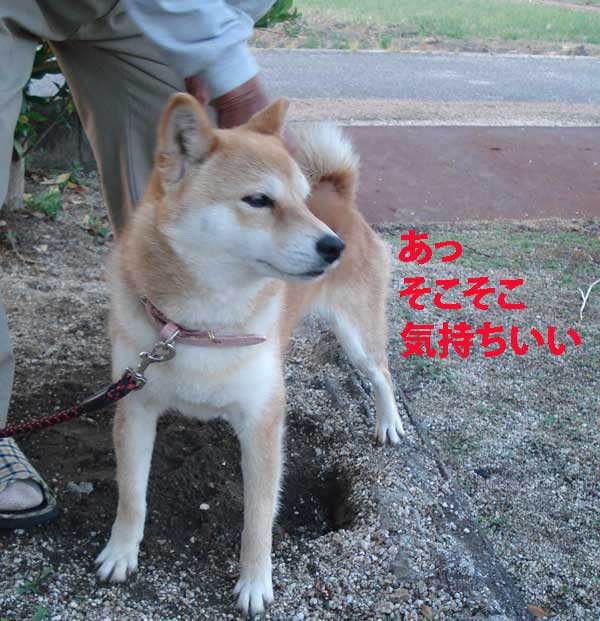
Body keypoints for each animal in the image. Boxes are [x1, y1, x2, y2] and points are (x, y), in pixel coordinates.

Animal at [95, 93, 405, 615]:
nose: (333, 245)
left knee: (381, 374)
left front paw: (255, 583)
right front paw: (121, 552)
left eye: (300, 199)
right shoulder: (134, 404)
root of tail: (340, 199)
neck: (201, 326)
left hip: (356, 337)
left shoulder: (262, 419)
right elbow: (132, 495)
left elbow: (259, 516)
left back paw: (388, 422)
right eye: (259, 200)